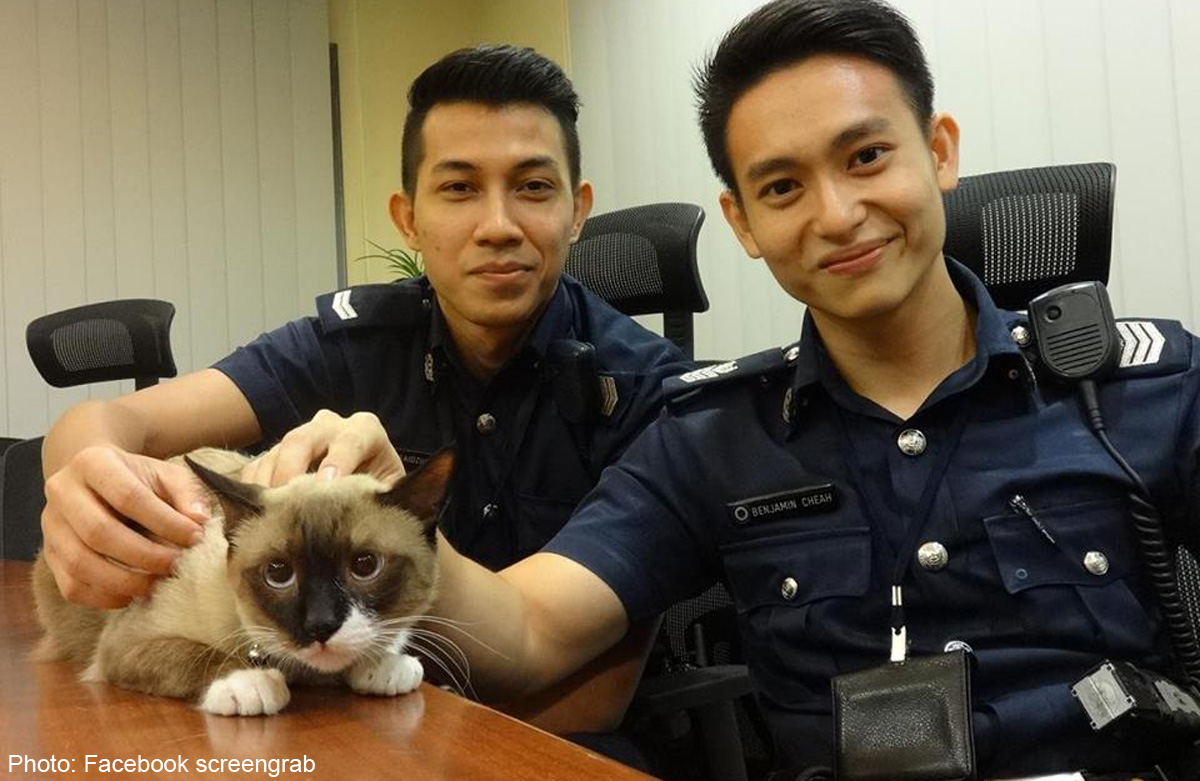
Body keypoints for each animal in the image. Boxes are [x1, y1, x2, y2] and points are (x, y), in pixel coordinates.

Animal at [34, 446, 453, 715]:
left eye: (365, 566)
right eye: (279, 573)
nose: (320, 626)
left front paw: (383, 664)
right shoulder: (124, 646)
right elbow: (197, 654)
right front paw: (250, 683)